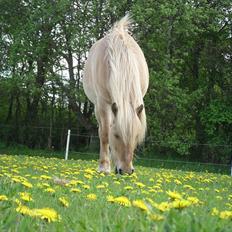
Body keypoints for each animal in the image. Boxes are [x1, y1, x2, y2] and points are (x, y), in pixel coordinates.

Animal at [83, 14, 149, 174]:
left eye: (136, 136)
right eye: (117, 135)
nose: (126, 171)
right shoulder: (103, 104)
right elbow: (105, 134)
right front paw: (104, 167)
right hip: (98, 107)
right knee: (101, 130)